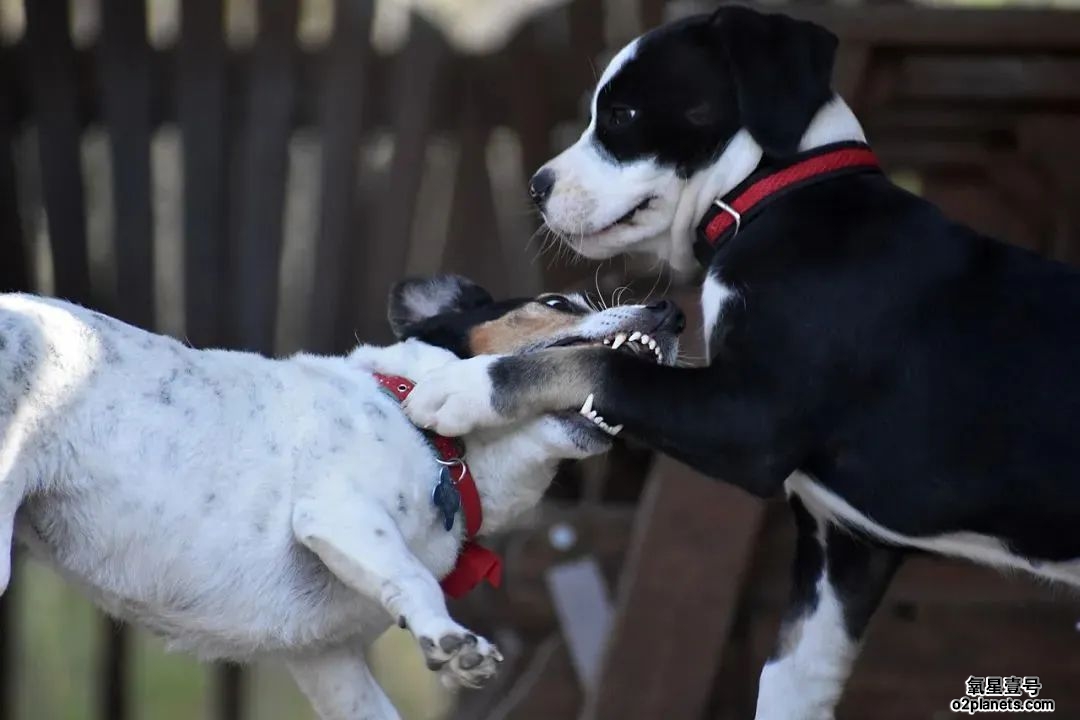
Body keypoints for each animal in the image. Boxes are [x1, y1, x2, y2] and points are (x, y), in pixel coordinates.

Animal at [403, 7, 1080, 720]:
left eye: (622, 115)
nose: (537, 187)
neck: (776, 200)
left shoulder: (748, 422)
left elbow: (602, 366)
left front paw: (461, 386)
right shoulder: (844, 554)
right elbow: (787, 682)